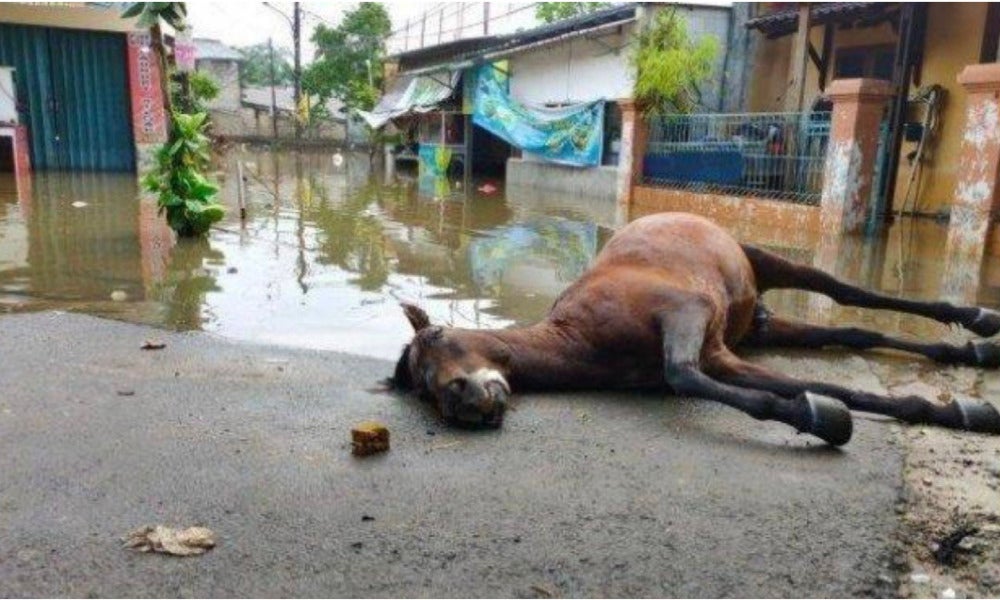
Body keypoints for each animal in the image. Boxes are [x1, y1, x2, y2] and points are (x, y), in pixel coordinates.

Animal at [390, 212, 1000, 446]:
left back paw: (979, 320)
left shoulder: (686, 315)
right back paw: (972, 353)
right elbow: (808, 385)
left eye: (437, 338)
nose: (461, 400)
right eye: (421, 387)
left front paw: (823, 418)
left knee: (846, 294)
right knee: (855, 333)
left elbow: (683, 374)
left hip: (764, 260)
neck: (582, 336)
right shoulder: (719, 355)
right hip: (759, 328)